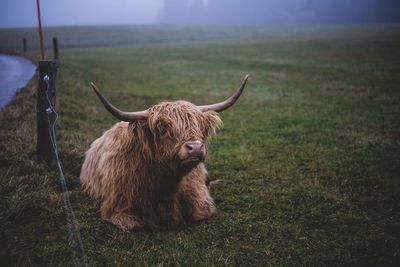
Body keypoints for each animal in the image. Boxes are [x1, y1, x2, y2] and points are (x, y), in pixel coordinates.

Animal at [79, 75, 248, 232]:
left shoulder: (200, 199)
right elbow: (132, 224)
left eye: (198, 125)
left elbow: (202, 212)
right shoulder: (117, 207)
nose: (195, 147)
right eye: (163, 129)